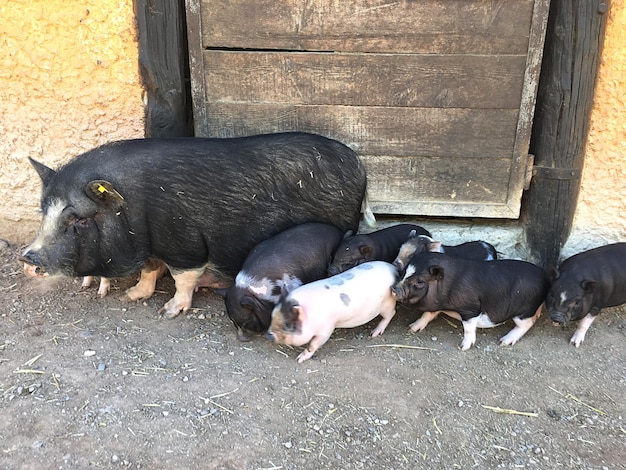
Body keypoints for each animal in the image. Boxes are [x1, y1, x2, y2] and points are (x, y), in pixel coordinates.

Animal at [22, 130, 368, 318]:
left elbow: (182, 278)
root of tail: (359, 165)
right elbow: (149, 270)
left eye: (78, 219)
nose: (27, 258)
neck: (133, 206)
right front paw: (131, 295)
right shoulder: (151, 244)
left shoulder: (183, 243)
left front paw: (168, 311)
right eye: (44, 211)